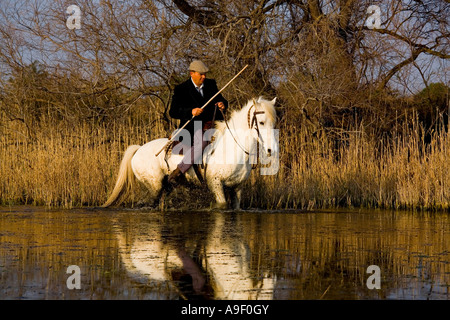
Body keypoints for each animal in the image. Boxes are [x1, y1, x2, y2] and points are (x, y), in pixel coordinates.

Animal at [103, 96, 278, 209]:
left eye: (274, 122)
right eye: (261, 122)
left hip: (165, 187)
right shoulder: (215, 184)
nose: (272, 150)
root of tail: (139, 149)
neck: (232, 148)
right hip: (154, 186)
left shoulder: (237, 188)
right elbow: (221, 206)